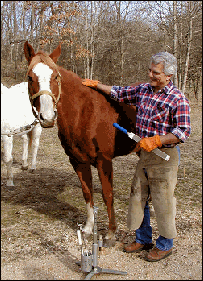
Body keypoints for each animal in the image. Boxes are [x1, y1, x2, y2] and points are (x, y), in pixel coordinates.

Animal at [23, 41, 141, 243]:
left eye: (56, 76)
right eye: (30, 77)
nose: (47, 117)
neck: (83, 112)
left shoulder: (103, 160)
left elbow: (107, 194)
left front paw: (111, 233)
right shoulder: (78, 161)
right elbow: (87, 193)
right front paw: (88, 228)